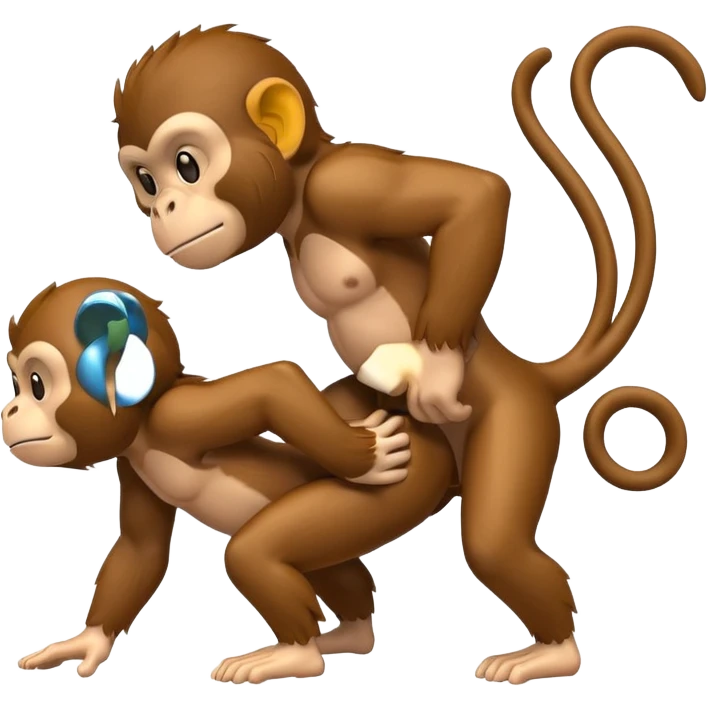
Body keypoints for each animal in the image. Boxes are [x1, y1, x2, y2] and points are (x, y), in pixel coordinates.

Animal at [4, 276, 458, 683]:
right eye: (18, 385)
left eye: (37, 385)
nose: (10, 411)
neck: (141, 427)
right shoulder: (131, 465)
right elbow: (140, 548)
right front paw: (89, 642)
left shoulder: (175, 414)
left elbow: (276, 382)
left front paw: (371, 457)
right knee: (332, 570)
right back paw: (350, 635)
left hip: (389, 498)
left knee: (254, 552)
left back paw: (296, 656)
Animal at [112, 24, 702, 684]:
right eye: (147, 182)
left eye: (186, 166)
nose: (163, 210)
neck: (299, 195)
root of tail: (526, 375)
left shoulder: (346, 179)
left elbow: (477, 194)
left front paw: (436, 373)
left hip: (514, 419)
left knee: (494, 543)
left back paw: (552, 652)